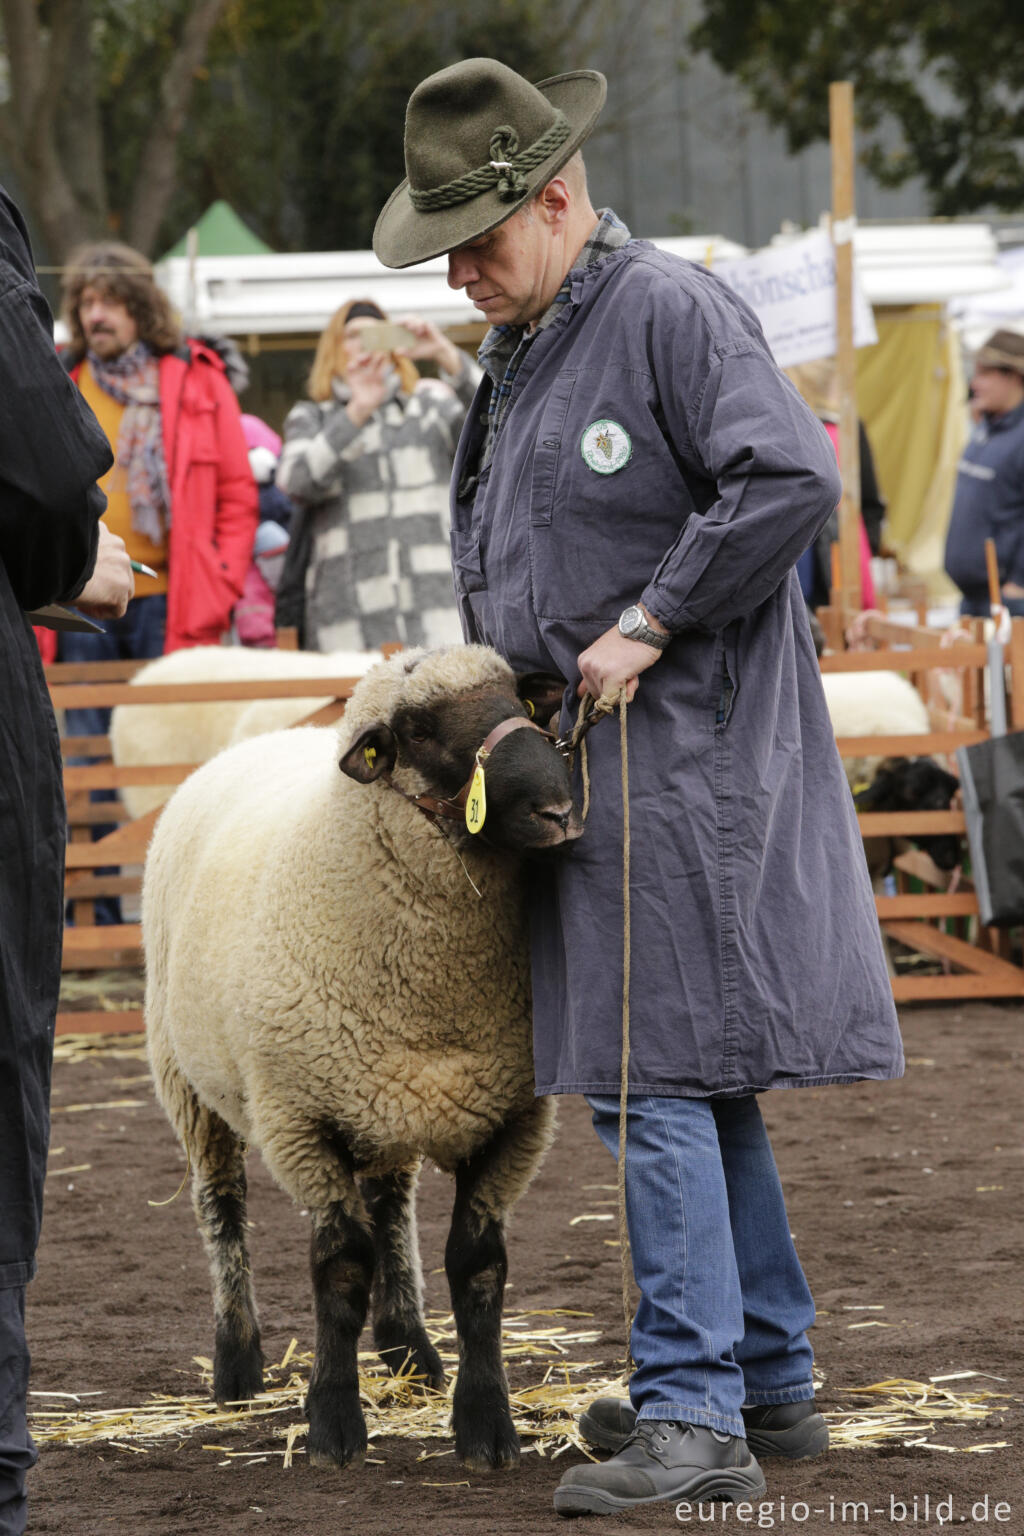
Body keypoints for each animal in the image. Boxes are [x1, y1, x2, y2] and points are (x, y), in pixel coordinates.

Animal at [142, 642, 583, 1468]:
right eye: (418, 730)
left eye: (519, 700)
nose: (559, 811)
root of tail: (263, 740)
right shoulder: (300, 1122)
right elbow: (340, 1268)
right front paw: (334, 1423)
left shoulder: (513, 1119)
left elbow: (479, 1269)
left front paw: (485, 1423)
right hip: (186, 1079)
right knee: (222, 1207)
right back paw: (236, 1363)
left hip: (384, 1096)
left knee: (391, 1204)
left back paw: (409, 1345)